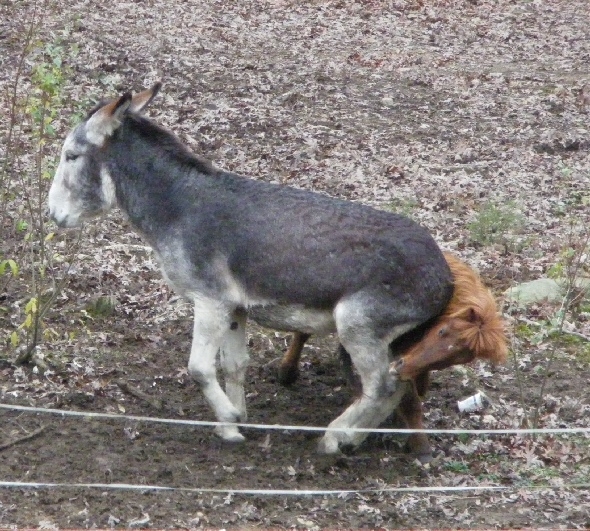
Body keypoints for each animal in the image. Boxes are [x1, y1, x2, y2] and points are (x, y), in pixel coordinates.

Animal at [278, 254, 508, 462]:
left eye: (454, 360)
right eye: (442, 331)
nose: (401, 367)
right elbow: (410, 400)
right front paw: (421, 447)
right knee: (303, 331)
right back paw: (288, 371)